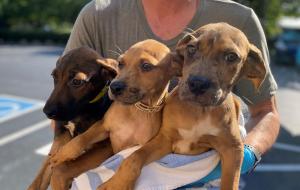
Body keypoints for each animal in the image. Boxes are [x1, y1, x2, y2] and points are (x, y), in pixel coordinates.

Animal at [27, 46, 116, 190]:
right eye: (54, 76)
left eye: (77, 82)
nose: (46, 112)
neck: (79, 113)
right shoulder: (59, 139)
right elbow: (40, 178)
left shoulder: (106, 147)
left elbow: (61, 169)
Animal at [99, 22, 266, 190]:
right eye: (191, 48)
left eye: (232, 57)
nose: (198, 83)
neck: (199, 111)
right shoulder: (164, 139)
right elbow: (135, 157)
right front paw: (118, 183)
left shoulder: (233, 149)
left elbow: (230, 182)